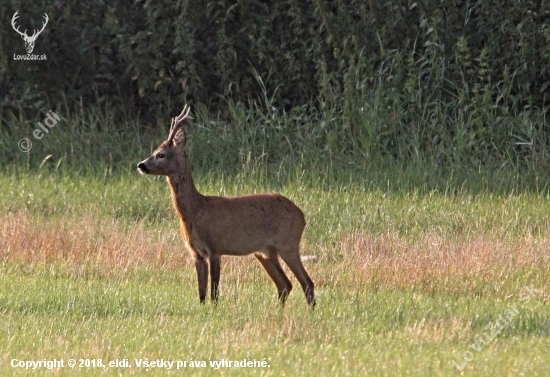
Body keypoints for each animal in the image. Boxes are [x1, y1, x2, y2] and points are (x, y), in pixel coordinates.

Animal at [138, 104, 316, 306]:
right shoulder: (196, 253)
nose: (141, 165)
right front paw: (202, 309)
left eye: (161, 154)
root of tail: (301, 215)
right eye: (154, 151)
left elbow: (214, 292)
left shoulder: (215, 247)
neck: (196, 211)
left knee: (307, 283)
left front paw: (215, 309)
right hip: (265, 252)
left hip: (288, 242)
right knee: (285, 284)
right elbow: (201, 293)